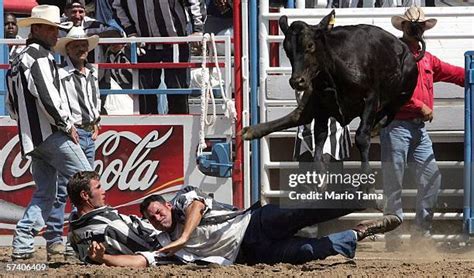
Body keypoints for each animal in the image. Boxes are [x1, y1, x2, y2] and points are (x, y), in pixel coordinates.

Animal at [243, 10, 416, 172]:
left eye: (310, 45)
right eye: (286, 50)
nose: (297, 81)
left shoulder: (371, 99)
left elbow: (361, 137)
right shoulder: (321, 107)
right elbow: (319, 144)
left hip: (402, 90)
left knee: (389, 111)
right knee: (298, 115)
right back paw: (250, 131)